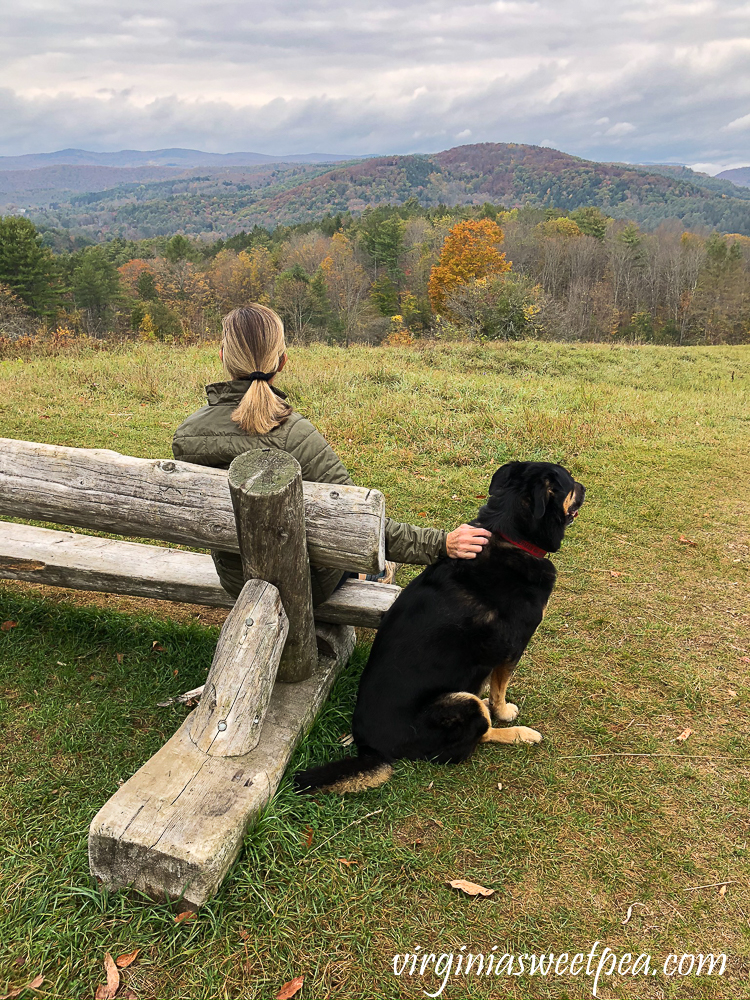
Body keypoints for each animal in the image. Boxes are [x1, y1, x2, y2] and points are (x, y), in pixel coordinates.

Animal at [296, 462, 588, 796]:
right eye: (571, 483)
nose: (586, 488)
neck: (509, 536)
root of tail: (371, 749)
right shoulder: (513, 648)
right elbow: (499, 690)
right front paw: (504, 712)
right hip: (461, 702)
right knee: (475, 738)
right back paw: (520, 733)